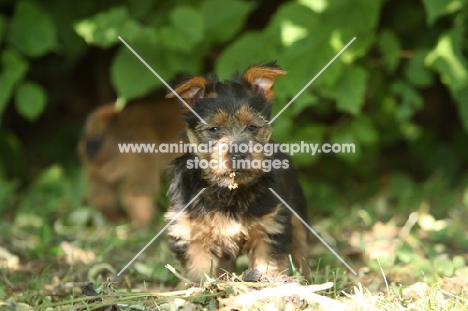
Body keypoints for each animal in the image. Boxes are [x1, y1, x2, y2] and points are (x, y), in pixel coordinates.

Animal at [165, 62, 310, 282]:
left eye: (252, 127)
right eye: (214, 130)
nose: (239, 153)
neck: (229, 189)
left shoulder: (270, 228)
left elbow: (268, 263)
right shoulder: (191, 233)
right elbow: (198, 271)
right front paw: (202, 288)